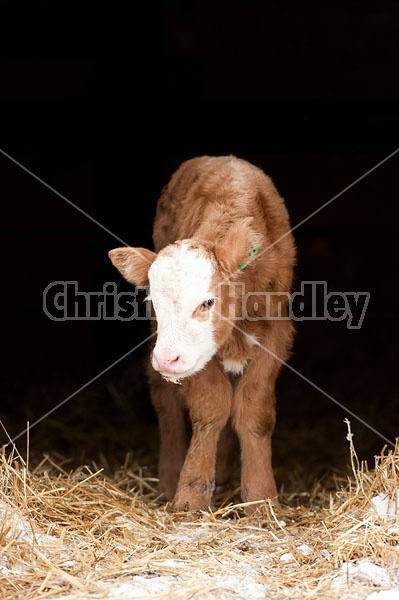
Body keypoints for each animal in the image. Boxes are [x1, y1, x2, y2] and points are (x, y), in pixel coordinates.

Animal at [109, 156, 296, 516]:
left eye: (207, 302)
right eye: (154, 299)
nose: (167, 359)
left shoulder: (276, 334)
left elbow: (254, 411)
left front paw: (262, 499)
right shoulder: (195, 357)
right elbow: (211, 407)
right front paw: (191, 496)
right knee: (165, 401)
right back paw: (170, 479)